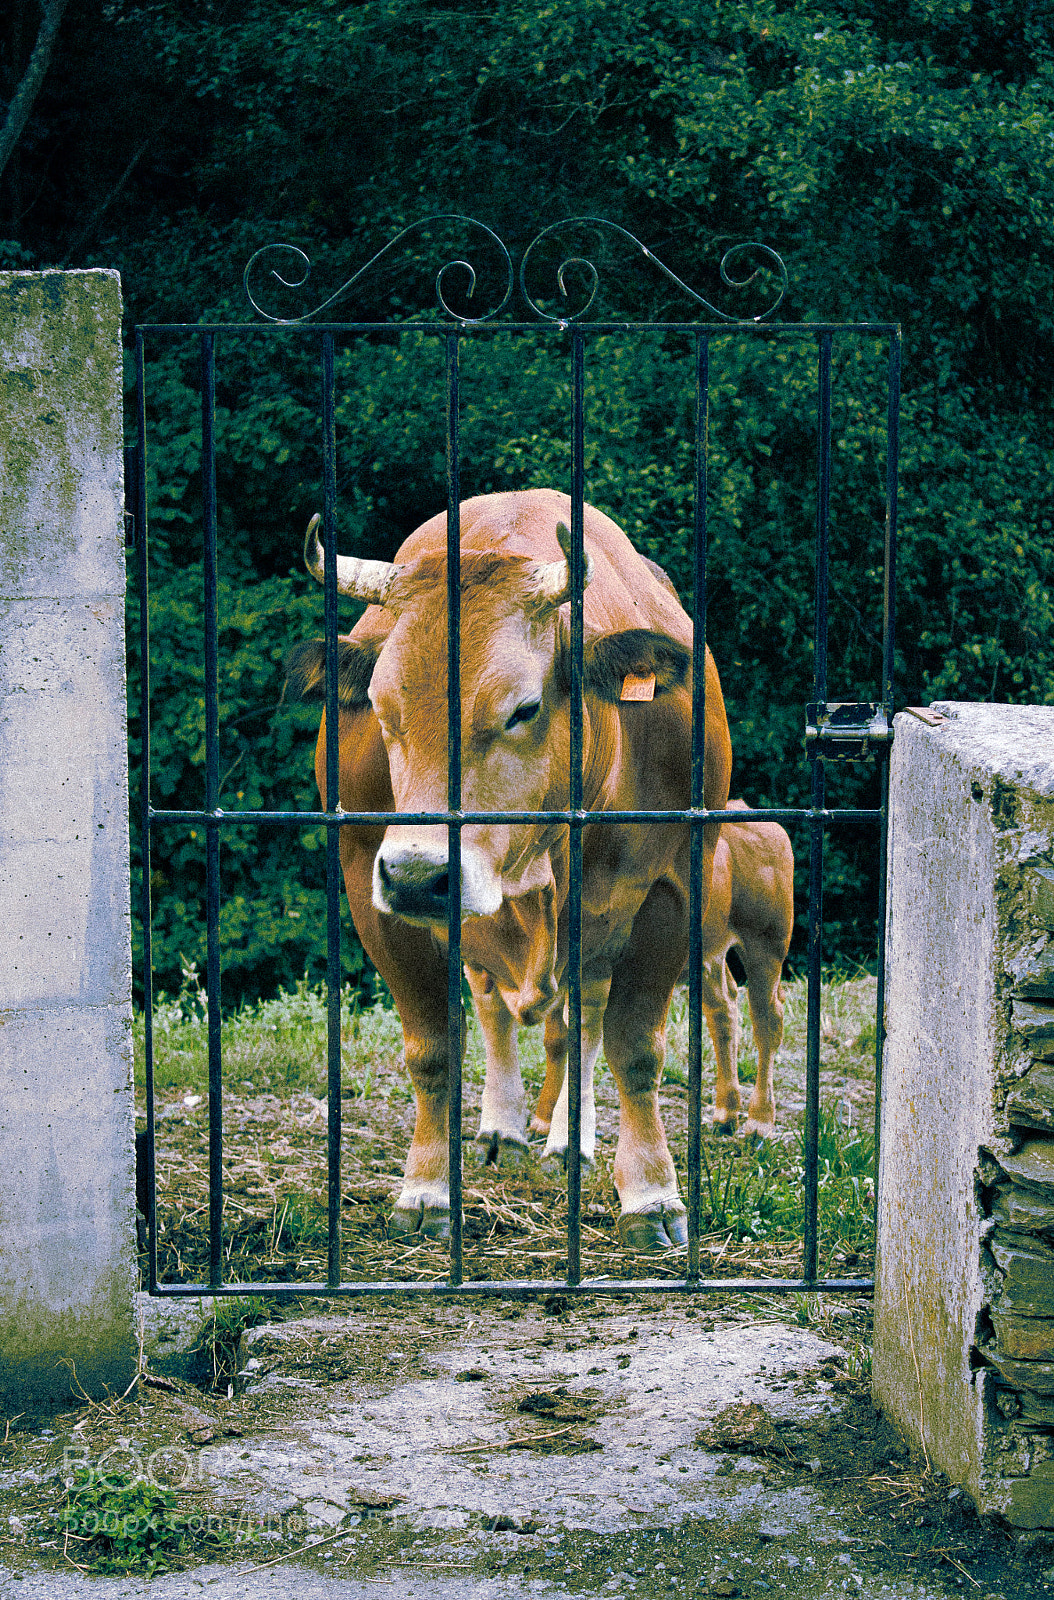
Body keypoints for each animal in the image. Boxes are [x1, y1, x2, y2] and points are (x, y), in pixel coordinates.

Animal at [286, 489, 732, 1252]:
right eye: (380, 706)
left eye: (523, 708)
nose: (417, 876)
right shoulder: (370, 886)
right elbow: (433, 1047)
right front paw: (427, 1188)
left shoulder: (671, 886)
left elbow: (634, 1049)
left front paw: (651, 1193)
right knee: (496, 1005)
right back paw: (505, 1128)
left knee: (581, 1017)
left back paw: (569, 1139)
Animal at [529, 801, 794, 1145]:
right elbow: (556, 1039)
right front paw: (543, 1121)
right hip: (709, 957)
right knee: (724, 1009)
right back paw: (725, 1114)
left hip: (767, 943)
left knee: (767, 1019)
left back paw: (759, 1122)